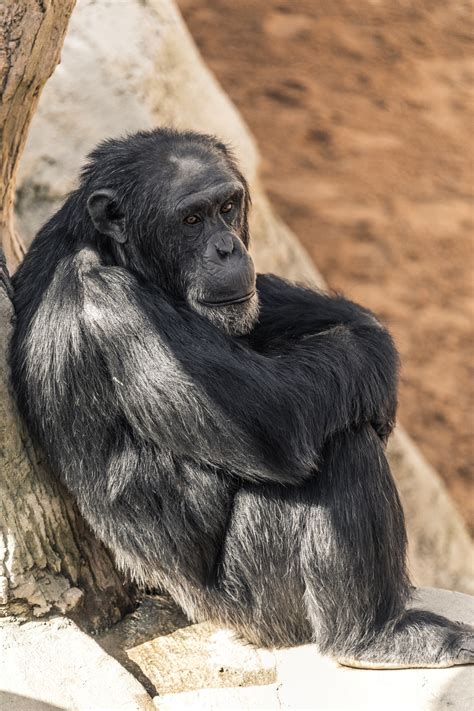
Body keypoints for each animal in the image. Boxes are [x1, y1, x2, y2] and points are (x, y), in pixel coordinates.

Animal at [9, 128, 472, 668]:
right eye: (191, 219)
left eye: (228, 207)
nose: (226, 248)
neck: (112, 253)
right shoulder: (112, 308)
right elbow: (271, 418)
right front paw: (368, 365)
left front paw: (370, 342)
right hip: (261, 605)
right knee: (342, 448)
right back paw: (376, 635)